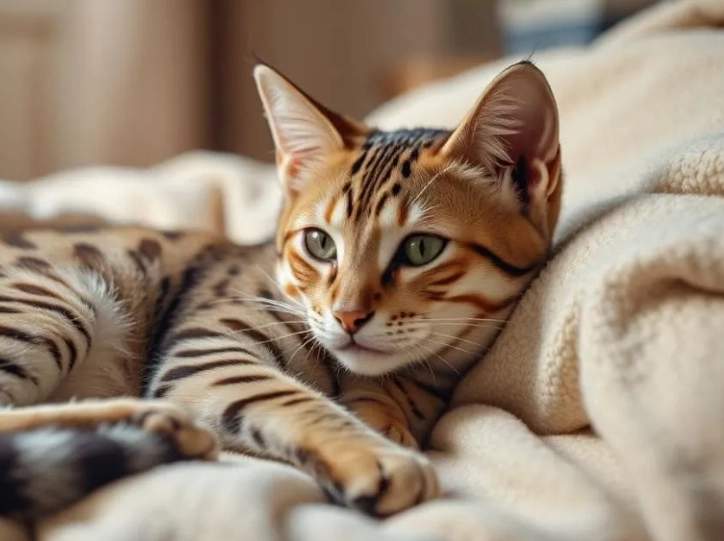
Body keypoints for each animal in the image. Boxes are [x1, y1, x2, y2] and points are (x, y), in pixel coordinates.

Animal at [0, 59, 562, 519]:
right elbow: (292, 397)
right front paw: (377, 454)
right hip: (56, 301)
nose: (347, 317)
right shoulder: (208, 345)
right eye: (319, 243)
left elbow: (379, 401)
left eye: (422, 249)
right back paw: (150, 422)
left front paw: (385, 420)